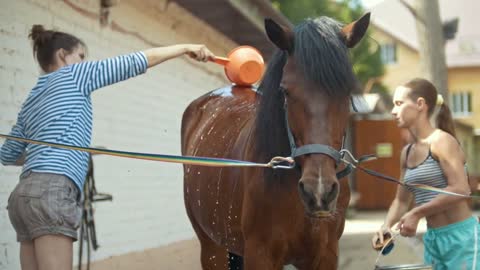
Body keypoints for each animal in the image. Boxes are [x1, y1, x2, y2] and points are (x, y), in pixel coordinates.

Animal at [180, 13, 372, 268]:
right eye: (286, 91)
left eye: (347, 91)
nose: (318, 192)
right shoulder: (260, 254)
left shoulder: (325, 255)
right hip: (211, 246)